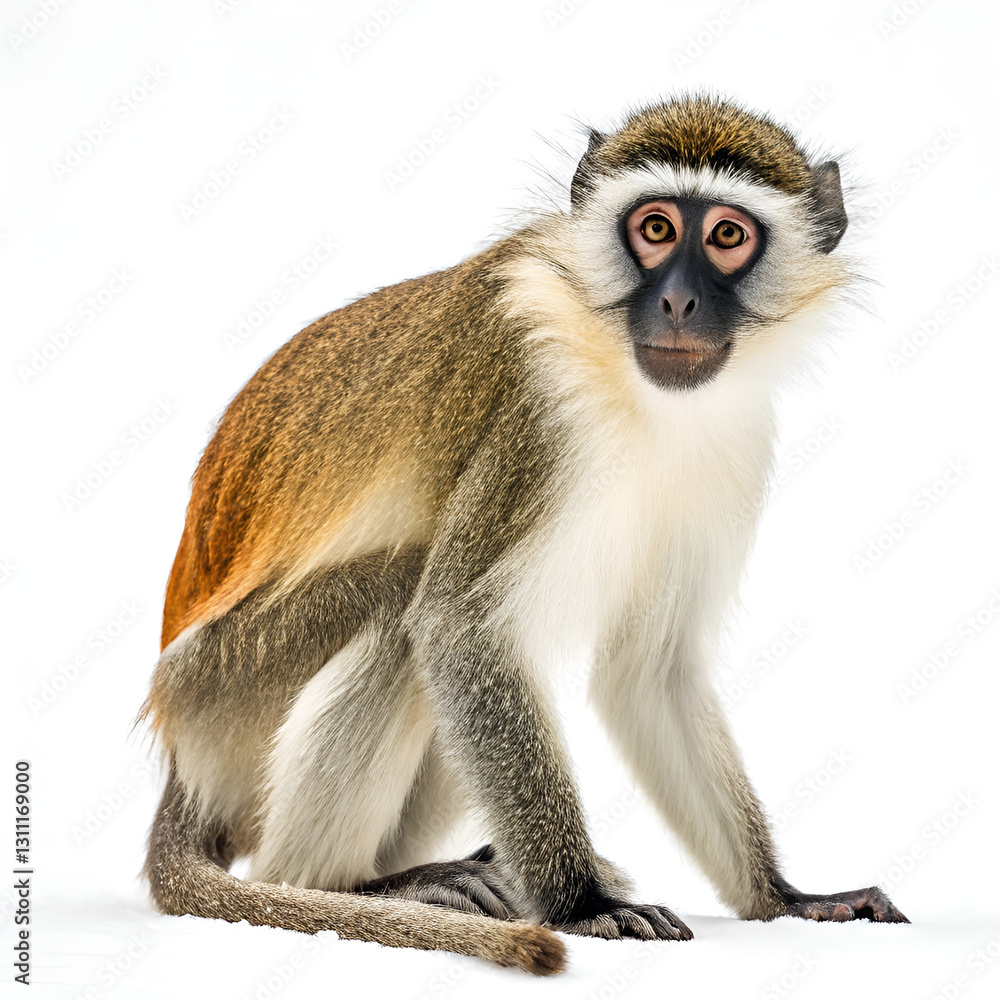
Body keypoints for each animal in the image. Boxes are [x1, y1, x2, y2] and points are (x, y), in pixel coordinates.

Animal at [141, 94, 908, 975]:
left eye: (725, 236)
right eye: (654, 229)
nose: (679, 302)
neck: (623, 375)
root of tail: (180, 759)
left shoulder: (735, 442)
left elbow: (651, 670)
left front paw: (784, 896)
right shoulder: (537, 406)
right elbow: (456, 627)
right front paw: (583, 904)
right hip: (220, 697)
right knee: (403, 611)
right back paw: (344, 885)